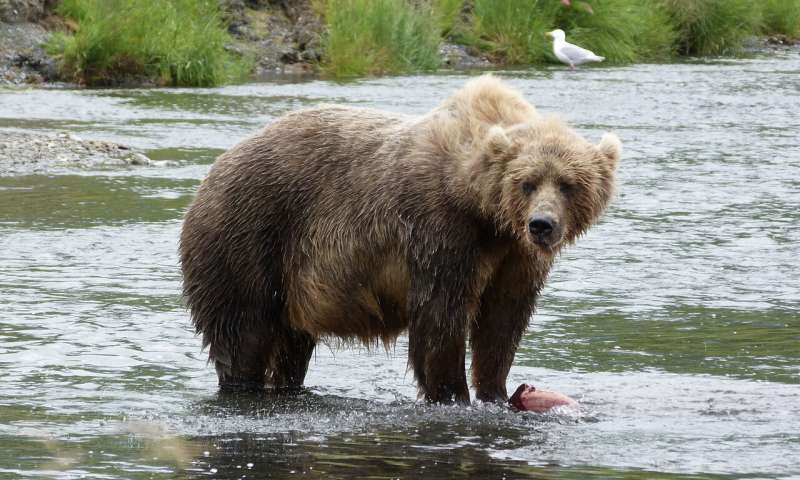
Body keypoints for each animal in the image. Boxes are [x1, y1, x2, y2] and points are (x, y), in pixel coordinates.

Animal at [178, 75, 620, 404]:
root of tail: (210, 173)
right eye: (527, 182)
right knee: (244, 331)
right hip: (248, 234)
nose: (542, 225)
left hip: (292, 280)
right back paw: (243, 386)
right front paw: (452, 395)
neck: (482, 208)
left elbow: (502, 320)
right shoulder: (441, 231)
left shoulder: (515, 257)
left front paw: (495, 391)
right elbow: (439, 318)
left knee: (292, 343)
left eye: (569, 184)